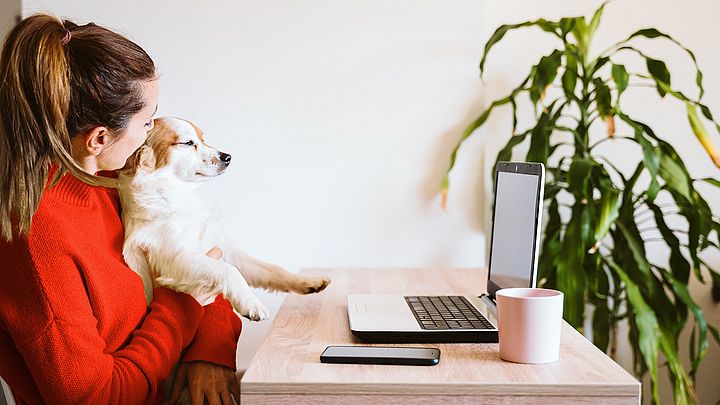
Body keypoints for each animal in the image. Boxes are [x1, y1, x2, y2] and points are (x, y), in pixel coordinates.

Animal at [116, 116, 330, 318]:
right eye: (187, 142)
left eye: (203, 139)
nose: (227, 157)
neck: (177, 197)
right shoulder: (174, 256)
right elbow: (228, 271)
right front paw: (251, 303)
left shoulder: (223, 248)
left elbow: (272, 269)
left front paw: (307, 281)